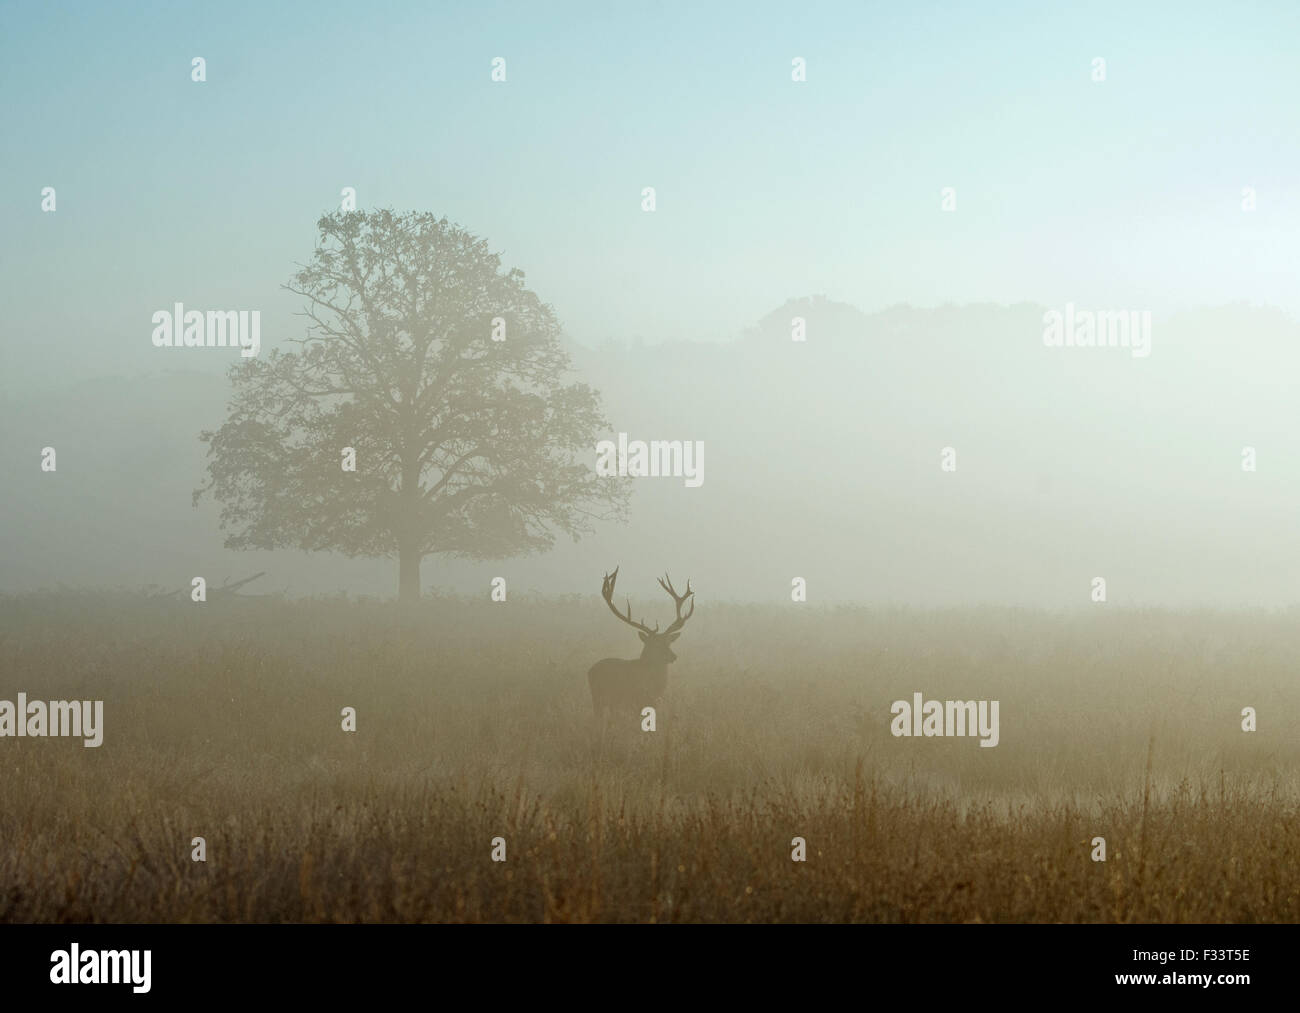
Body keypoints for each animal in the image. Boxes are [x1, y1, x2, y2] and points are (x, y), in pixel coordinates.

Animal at [588, 568, 695, 716]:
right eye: (654, 644)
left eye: (668, 642)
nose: (673, 656)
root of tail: (590, 670)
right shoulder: (635, 700)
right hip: (599, 697)